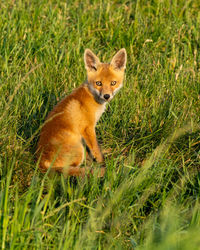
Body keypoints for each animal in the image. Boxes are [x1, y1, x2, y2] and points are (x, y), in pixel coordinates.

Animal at [37, 47, 127, 177]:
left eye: (113, 83)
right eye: (98, 83)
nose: (106, 96)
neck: (92, 97)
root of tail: (41, 162)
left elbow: (94, 149)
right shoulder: (87, 128)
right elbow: (96, 149)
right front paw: (102, 163)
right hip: (78, 149)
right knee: (68, 170)